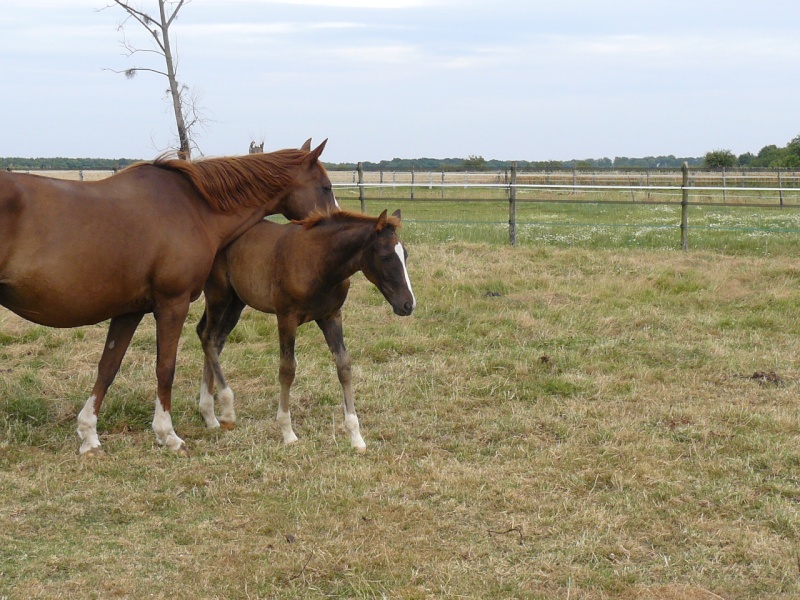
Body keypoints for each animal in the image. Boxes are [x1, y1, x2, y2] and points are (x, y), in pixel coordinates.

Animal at [0, 139, 338, 454]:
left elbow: (108, 366)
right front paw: (167, 434)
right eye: (325, 186)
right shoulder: (172, 304)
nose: (336, 222)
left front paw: (89, 435)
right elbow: (165, 368)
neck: (194, 207)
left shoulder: (129, 310)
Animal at [196, 210, 416, 450]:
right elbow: (287, 369)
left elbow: (344, 366)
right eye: (385, 257)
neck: (318, 263)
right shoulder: (286, 318)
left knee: (215, 340)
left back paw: (209, 415)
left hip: (236, 301)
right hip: (219, 295)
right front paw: (287, 431)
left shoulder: (331, 316)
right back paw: (225, 410)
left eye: (405, 255)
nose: (408, 304)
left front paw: (356, 437)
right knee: (208, 338)